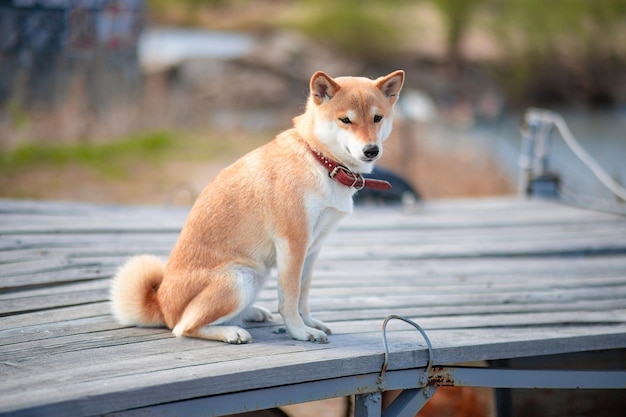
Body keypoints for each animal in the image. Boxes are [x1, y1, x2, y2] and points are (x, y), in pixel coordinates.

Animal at [111, 70, 404, 342]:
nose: (371, 150)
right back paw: (231, 331)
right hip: (241, 278)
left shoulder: (313, 247)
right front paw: (300, 331)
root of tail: (160, 304)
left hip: (256, 275)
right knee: (184, 326)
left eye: (377, 118)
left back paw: (251, 313)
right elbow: (289, 298)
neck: (320, 160)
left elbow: (304, 293)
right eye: (345, 120)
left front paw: (310, 322)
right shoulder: (293, 243)